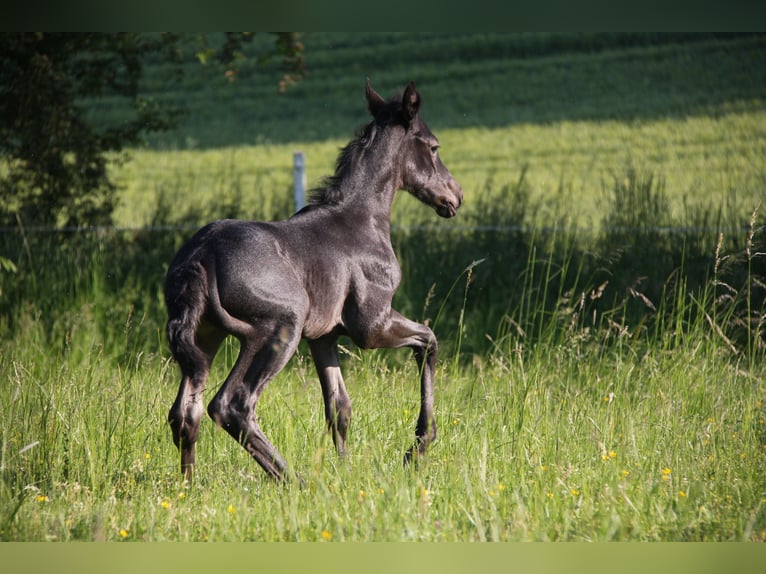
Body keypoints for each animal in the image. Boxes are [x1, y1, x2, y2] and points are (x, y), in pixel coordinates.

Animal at [166, 81, 464, 484]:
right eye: (433, 147)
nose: (455, 196)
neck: (363, 220)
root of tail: (202, 256)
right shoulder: (372, 326)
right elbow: (429, 341)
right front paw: (417, 447)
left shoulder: (323, 337)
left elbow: (339, 407)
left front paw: (345, 471)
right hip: (277, 329)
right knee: (232, 405)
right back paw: (293, 481)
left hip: (205, 336)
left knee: (186, 412)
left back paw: (190, 486)